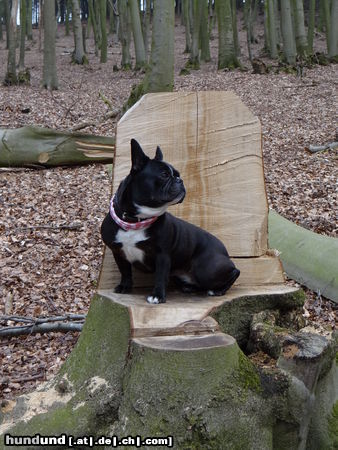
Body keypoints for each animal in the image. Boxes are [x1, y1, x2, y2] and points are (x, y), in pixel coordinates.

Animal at [101, 139, 240, 304]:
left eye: (177, 175)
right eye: (164, 174)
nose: (180, 180)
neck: (136, 221)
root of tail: (225, 253)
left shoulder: (163, 255)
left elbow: (160, 276)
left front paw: (157, 296)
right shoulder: (118, 252)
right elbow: (125, 272)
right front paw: (125, 287)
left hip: (207, 269)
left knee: (235, 272)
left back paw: (217, 290)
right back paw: (189, 287)